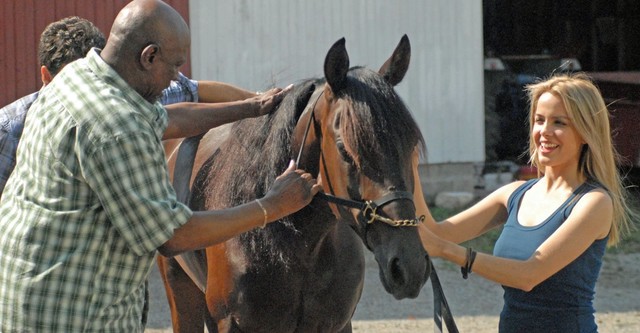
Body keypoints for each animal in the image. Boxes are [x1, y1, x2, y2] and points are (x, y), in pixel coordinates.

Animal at [158, 35, 432, 330]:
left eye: (411, 147)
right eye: (344, 149)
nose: (408, 267)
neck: (299, 249)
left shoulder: (337, 324)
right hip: (179, 292)